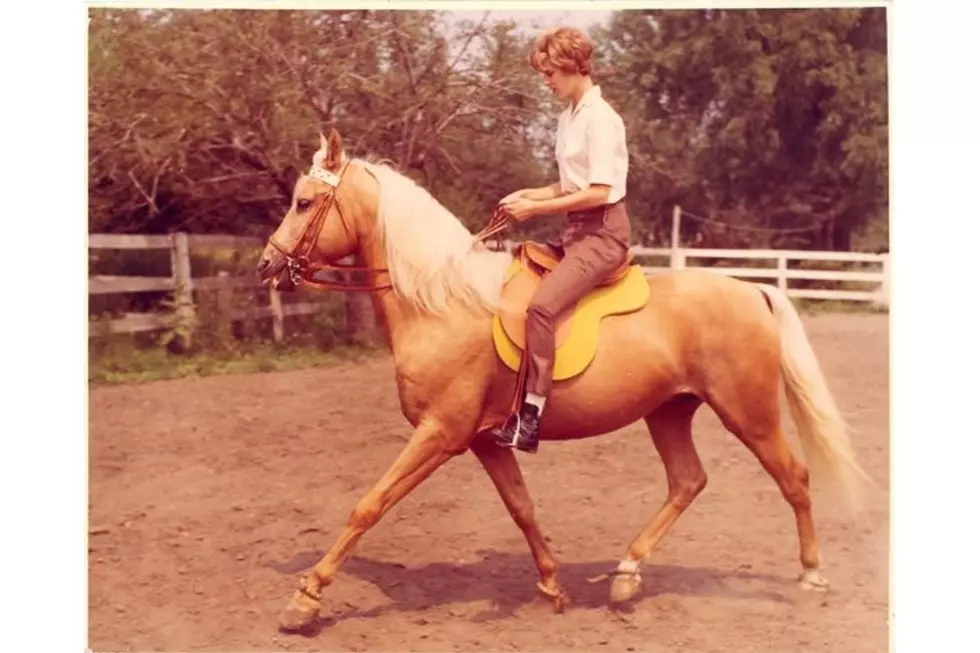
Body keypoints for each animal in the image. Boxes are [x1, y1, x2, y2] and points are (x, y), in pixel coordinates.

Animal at [255, 129, 868, 633]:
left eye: (304, 202)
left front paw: (304, 600)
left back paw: (811, 579)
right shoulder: (485, 441)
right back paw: (626, 576)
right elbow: (522, 508)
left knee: (793, 478)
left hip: (749, 412)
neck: (443, 304)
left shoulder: (439, 434)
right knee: (687, 481)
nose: (266, 266)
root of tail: (753, 289)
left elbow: (370, 504)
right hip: (669, 411)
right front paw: (551, 587)